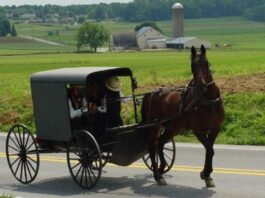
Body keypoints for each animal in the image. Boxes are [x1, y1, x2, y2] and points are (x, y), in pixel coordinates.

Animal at [141, 44, 224, 187]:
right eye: (192, 65)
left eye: (206, 62)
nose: (202, 84)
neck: (208, 100)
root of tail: (151, 93)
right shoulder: (198, 131)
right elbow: (210, 150)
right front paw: (205, 173)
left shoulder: (215, 129)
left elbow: (210, 151)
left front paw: (207, 176)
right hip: (154, 125)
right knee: (152, 147)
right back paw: (158, 175)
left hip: (173, 127)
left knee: (160, 142)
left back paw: (162, 168)